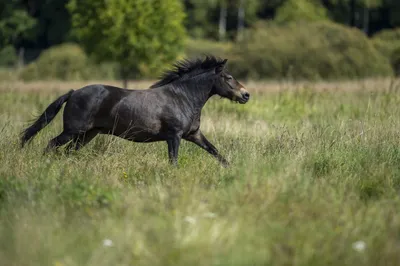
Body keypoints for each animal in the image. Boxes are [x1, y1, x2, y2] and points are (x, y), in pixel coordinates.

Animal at [21, 55, 250, 166]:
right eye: (228, 77)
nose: (246, 95)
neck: (182, 97)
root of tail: (74, 92)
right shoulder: (174, 136)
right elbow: (173, 161)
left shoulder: (194, 135)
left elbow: (216, 152)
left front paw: (232, 170)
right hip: (72, 131)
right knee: (51, 145)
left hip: (87, 134)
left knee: (67, 151)